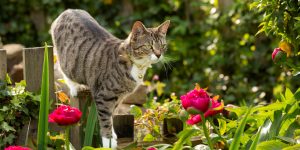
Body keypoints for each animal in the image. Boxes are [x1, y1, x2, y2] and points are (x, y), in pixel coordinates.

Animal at [50, 8, 170, 148]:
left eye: (162, 46)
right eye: (149, 46)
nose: (158, 54)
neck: (135, 64)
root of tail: (68, 11)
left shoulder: (119, 97)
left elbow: (112, 115)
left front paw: (113, 135)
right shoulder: (104, 95)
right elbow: (106, 119)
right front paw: (108, 141)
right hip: (68, 63)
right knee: (65, 71)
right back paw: (75, 87)